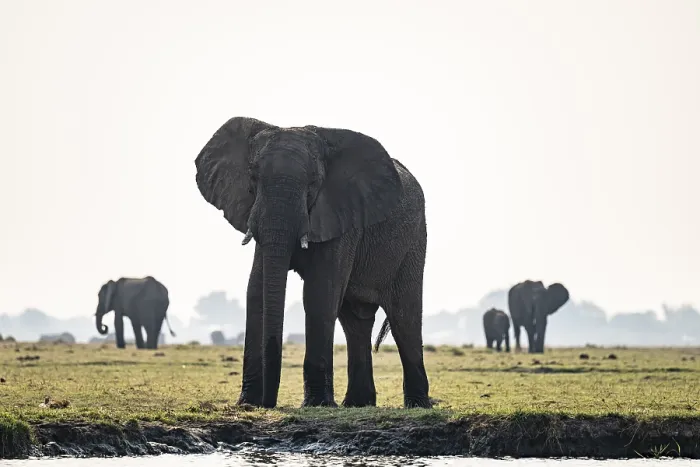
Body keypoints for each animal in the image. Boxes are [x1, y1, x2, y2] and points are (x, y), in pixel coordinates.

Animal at [194, 116, 431, 409]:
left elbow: (320, 293)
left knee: (404, 317)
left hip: (412, 243)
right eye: (253, 178)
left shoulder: (343, 216)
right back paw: (357, 404)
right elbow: (256, 290)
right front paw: (248, 403)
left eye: (314, 183)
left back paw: (418, 405)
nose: (269, 403)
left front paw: (317, 405)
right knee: (355, 321)